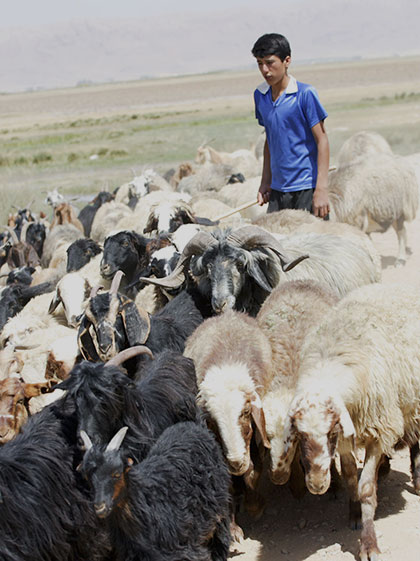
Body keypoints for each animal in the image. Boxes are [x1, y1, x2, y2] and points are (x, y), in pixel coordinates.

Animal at [80, 420, 231, 560]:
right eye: (87, 476)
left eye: (116, 474)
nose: (100, 507)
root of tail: (192, 426)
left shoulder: (187, 550)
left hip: (219, 510)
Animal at [278, 284, 420, 560]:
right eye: (300, 436)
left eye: (330, 432)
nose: (317, 484)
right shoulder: (349, 433)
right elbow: (351, 475)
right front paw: (354, 513)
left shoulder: (377, 430)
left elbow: (365, 487)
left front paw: (369, 544)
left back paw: (417, 480)